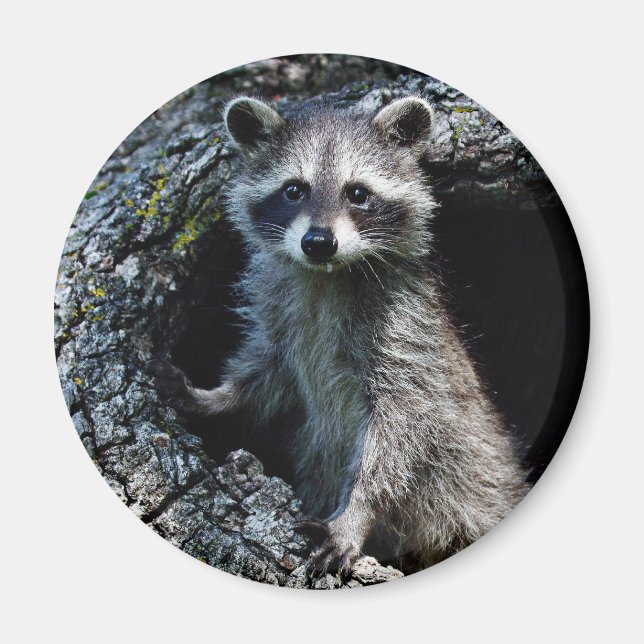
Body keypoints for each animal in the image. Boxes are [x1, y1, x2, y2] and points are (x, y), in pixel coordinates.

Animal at [156, 95, 529, 576]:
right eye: (293, 189)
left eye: (357, 193)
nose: (318, 242)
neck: (327, 276)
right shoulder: (281, 315)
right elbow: (267, 375)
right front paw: (216, 397)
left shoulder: (406, 331)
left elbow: (402, 428)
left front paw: (356, 513)